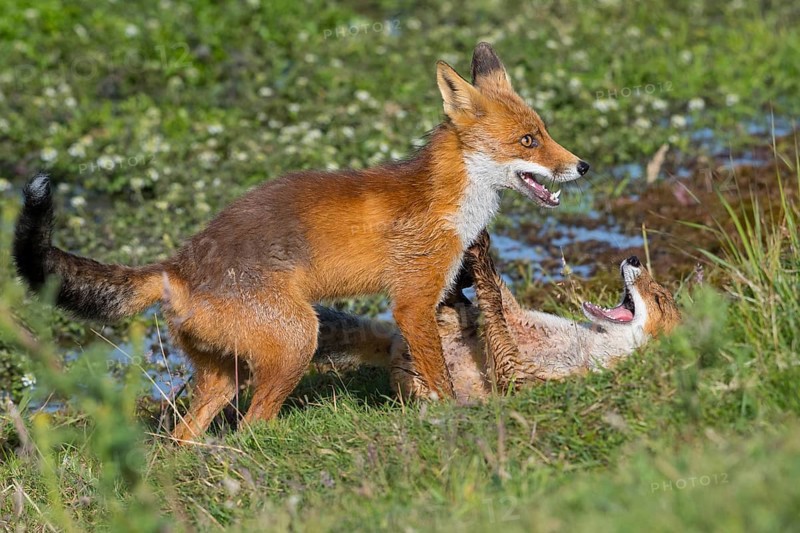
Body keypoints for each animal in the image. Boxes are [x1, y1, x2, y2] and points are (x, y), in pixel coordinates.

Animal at [12, 43, 589, 442]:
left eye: (545, 131)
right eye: (528, 141)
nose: (582, 166)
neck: (445, 199)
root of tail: (176, 265)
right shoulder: (412, 300)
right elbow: (440, 377)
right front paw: (452, 416)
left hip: (227, 373)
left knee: (184, 438)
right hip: (297, 341)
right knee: (250, 429)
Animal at [313, 231, 681, 401]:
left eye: (659, 299)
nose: (634, 258)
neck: (591, 346)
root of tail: (394, 350)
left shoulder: (521, 377)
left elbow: (495, 309)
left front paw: (481, 259)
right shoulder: (520, 317)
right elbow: (501, 301)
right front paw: (477, 250)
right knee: (453, 305)